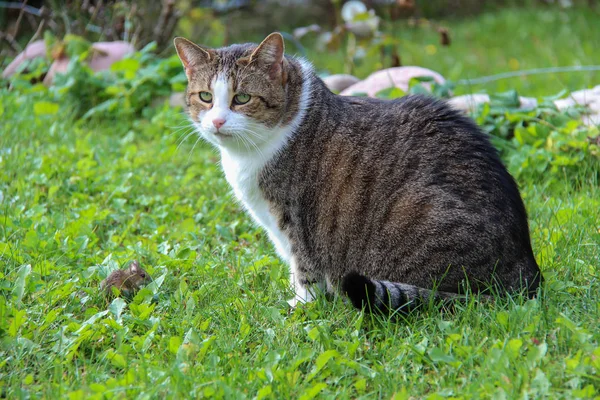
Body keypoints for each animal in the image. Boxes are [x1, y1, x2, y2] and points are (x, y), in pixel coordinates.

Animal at [173, 32, 544, 310]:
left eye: (242, 98)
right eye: (205, 97)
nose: (217, 121)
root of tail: (526, 277)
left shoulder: (294, 218)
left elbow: (304, 267)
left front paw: (301, 305)